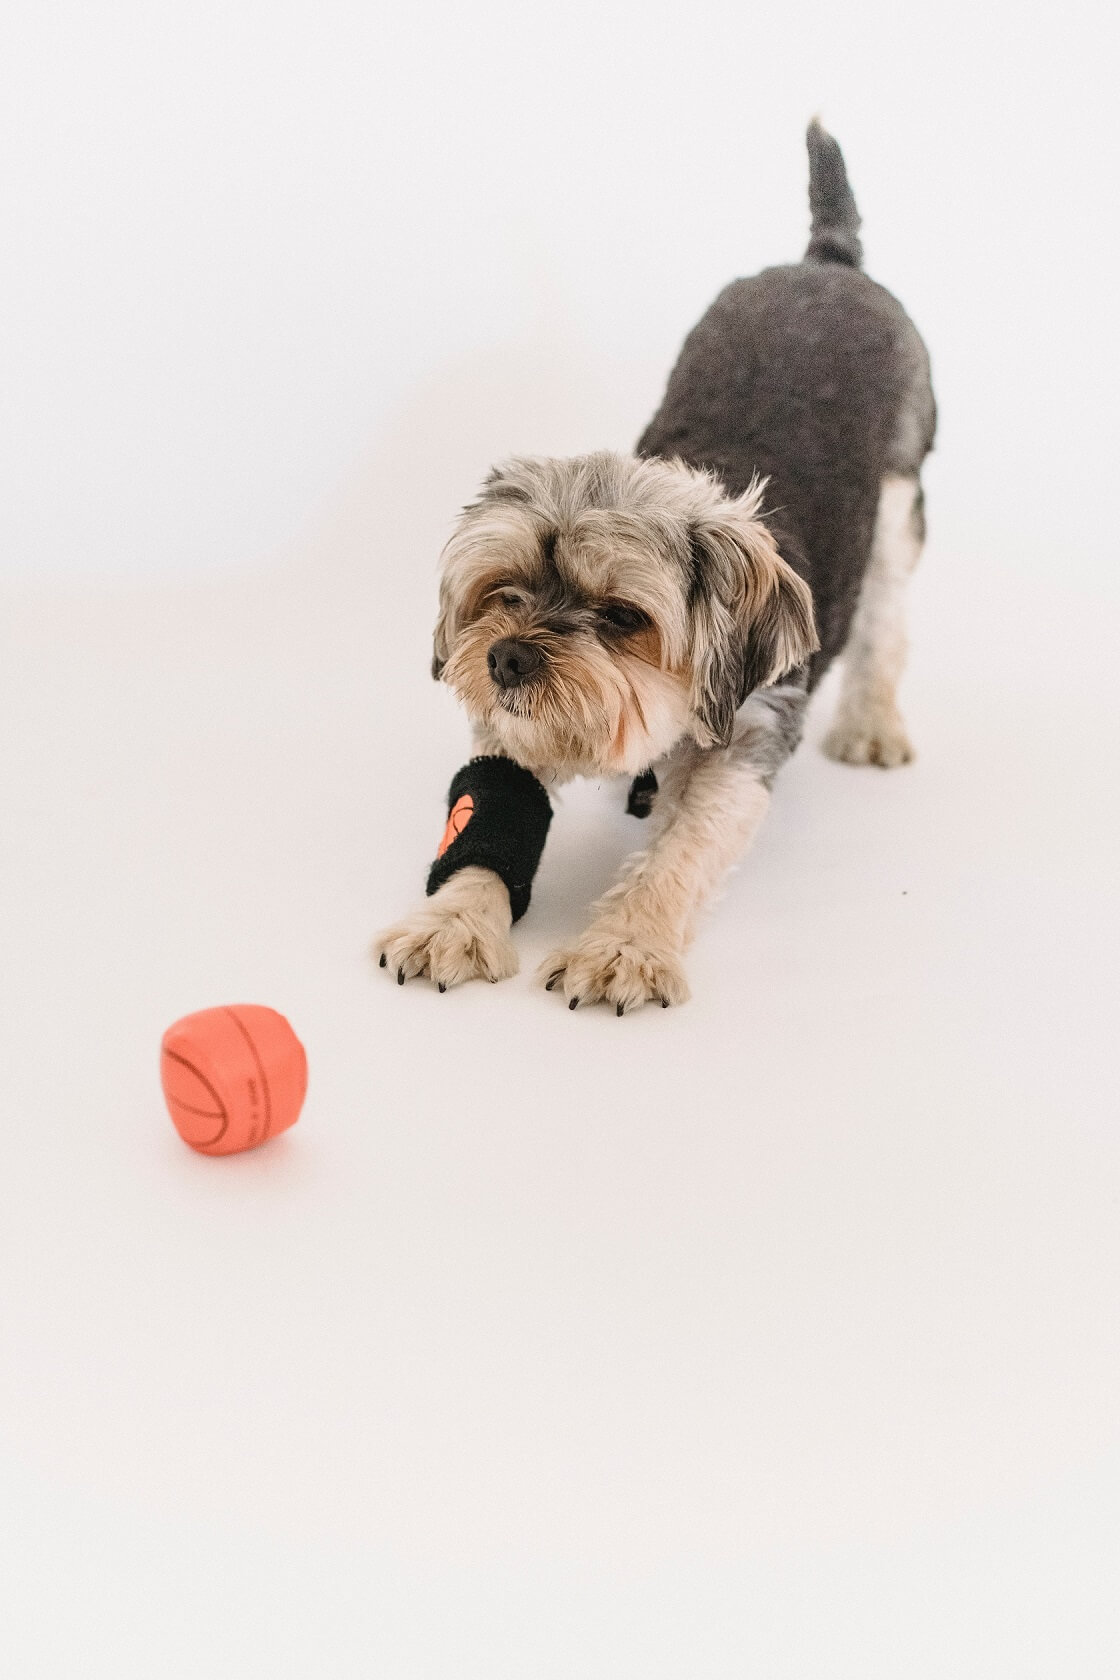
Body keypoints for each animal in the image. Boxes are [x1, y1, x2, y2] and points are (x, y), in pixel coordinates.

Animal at [376, 121, 940, 1007]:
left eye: (622, 617)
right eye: (501, 594)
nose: (508, 658)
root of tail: (827, 261)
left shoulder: (747, 730)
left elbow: (687, 842)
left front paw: (626, 945)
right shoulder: (513, 733)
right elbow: (486, 818)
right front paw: (452, 922)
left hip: (898, 495)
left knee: (885, 618)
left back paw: (872, 725)